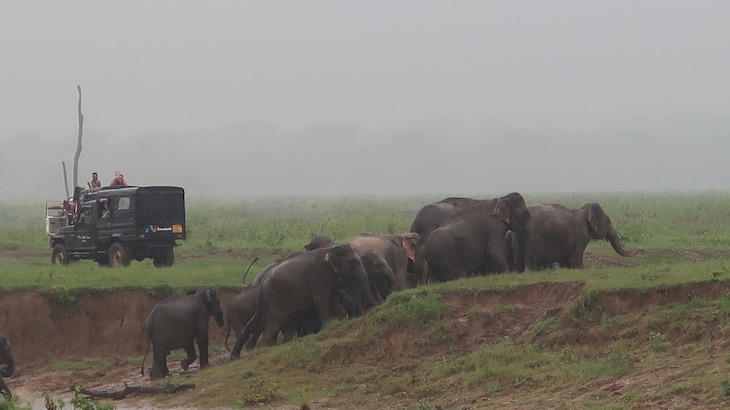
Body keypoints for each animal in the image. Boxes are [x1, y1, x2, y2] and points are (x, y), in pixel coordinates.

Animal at [239, 245, 378, 348]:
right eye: (353, 262)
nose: (374, 309)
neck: (330, 249)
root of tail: (262, 285)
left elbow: (332, 300)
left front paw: (340, 321)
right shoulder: (319, 275)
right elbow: (321, 299)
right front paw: (327, 326)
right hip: (275, 300)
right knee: (273, 325)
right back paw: (262, 347)